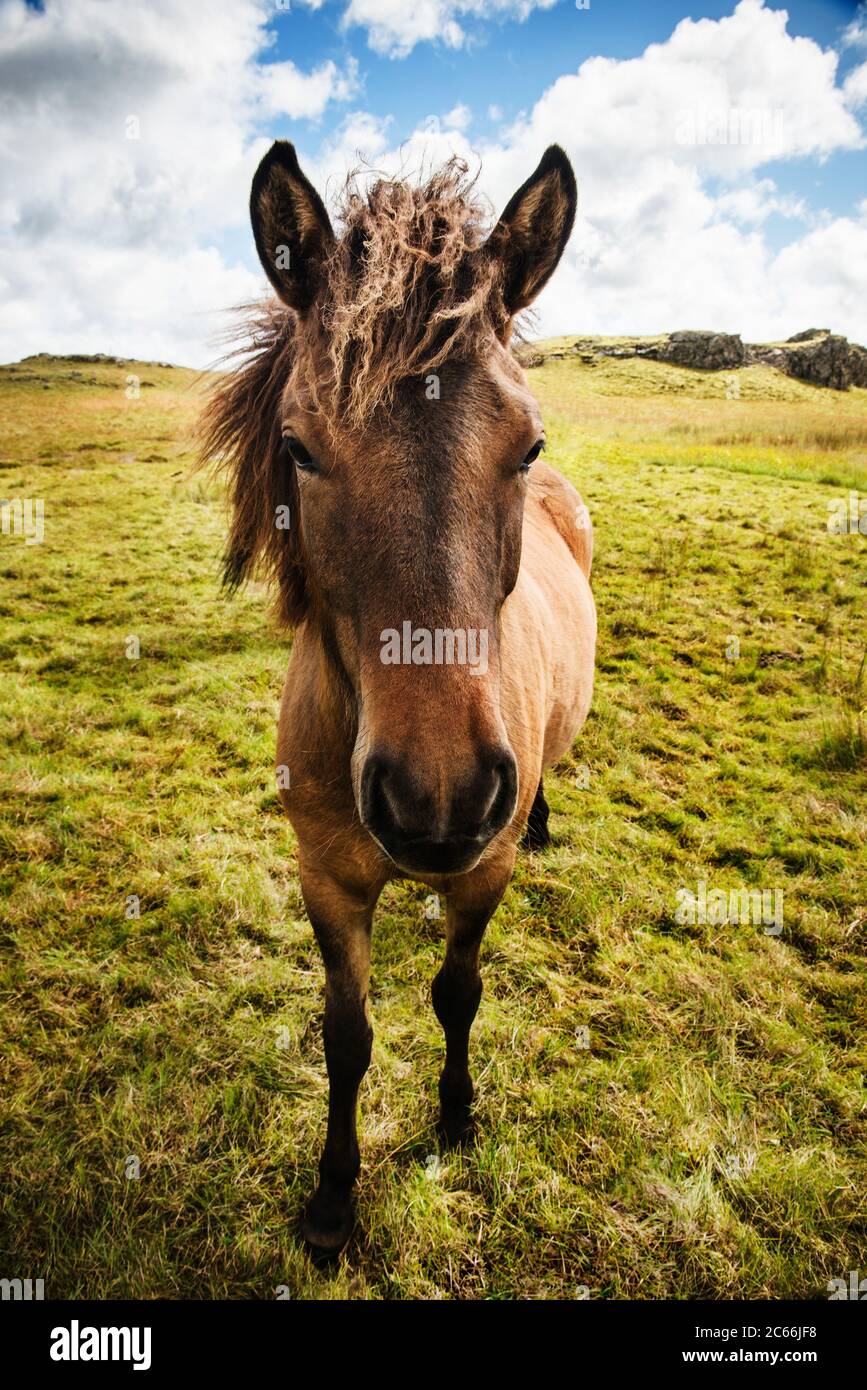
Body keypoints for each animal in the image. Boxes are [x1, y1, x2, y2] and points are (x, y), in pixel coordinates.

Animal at [201, 143, 594, 1262]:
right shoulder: (326, 879)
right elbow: (349, 1034)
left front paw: (456, 1117)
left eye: (527, 445)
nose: (440, 796)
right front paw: (333, 1200)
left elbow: (457, 993)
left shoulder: (482, 871)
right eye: (298, 446)